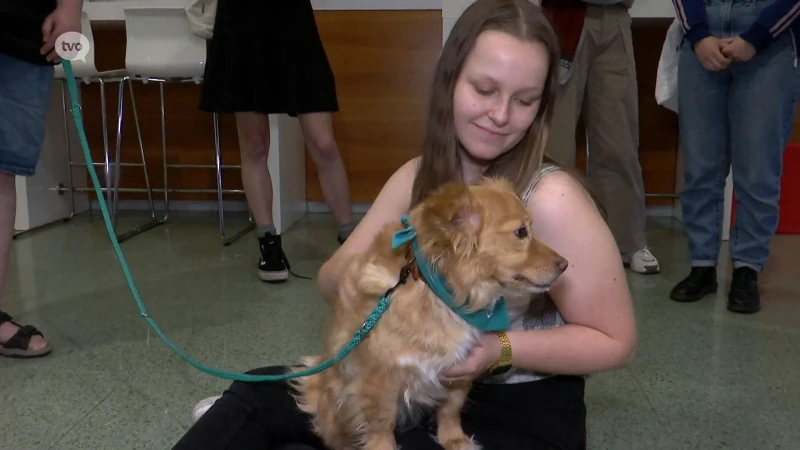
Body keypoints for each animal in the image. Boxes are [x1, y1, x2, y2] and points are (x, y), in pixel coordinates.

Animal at [294, 178, 568, 448]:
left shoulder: (458, 370)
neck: (439, 292)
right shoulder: (378, 380)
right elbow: (380, 424)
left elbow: (451, 409)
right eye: (521, 232)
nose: (565, 264)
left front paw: (454, 439)